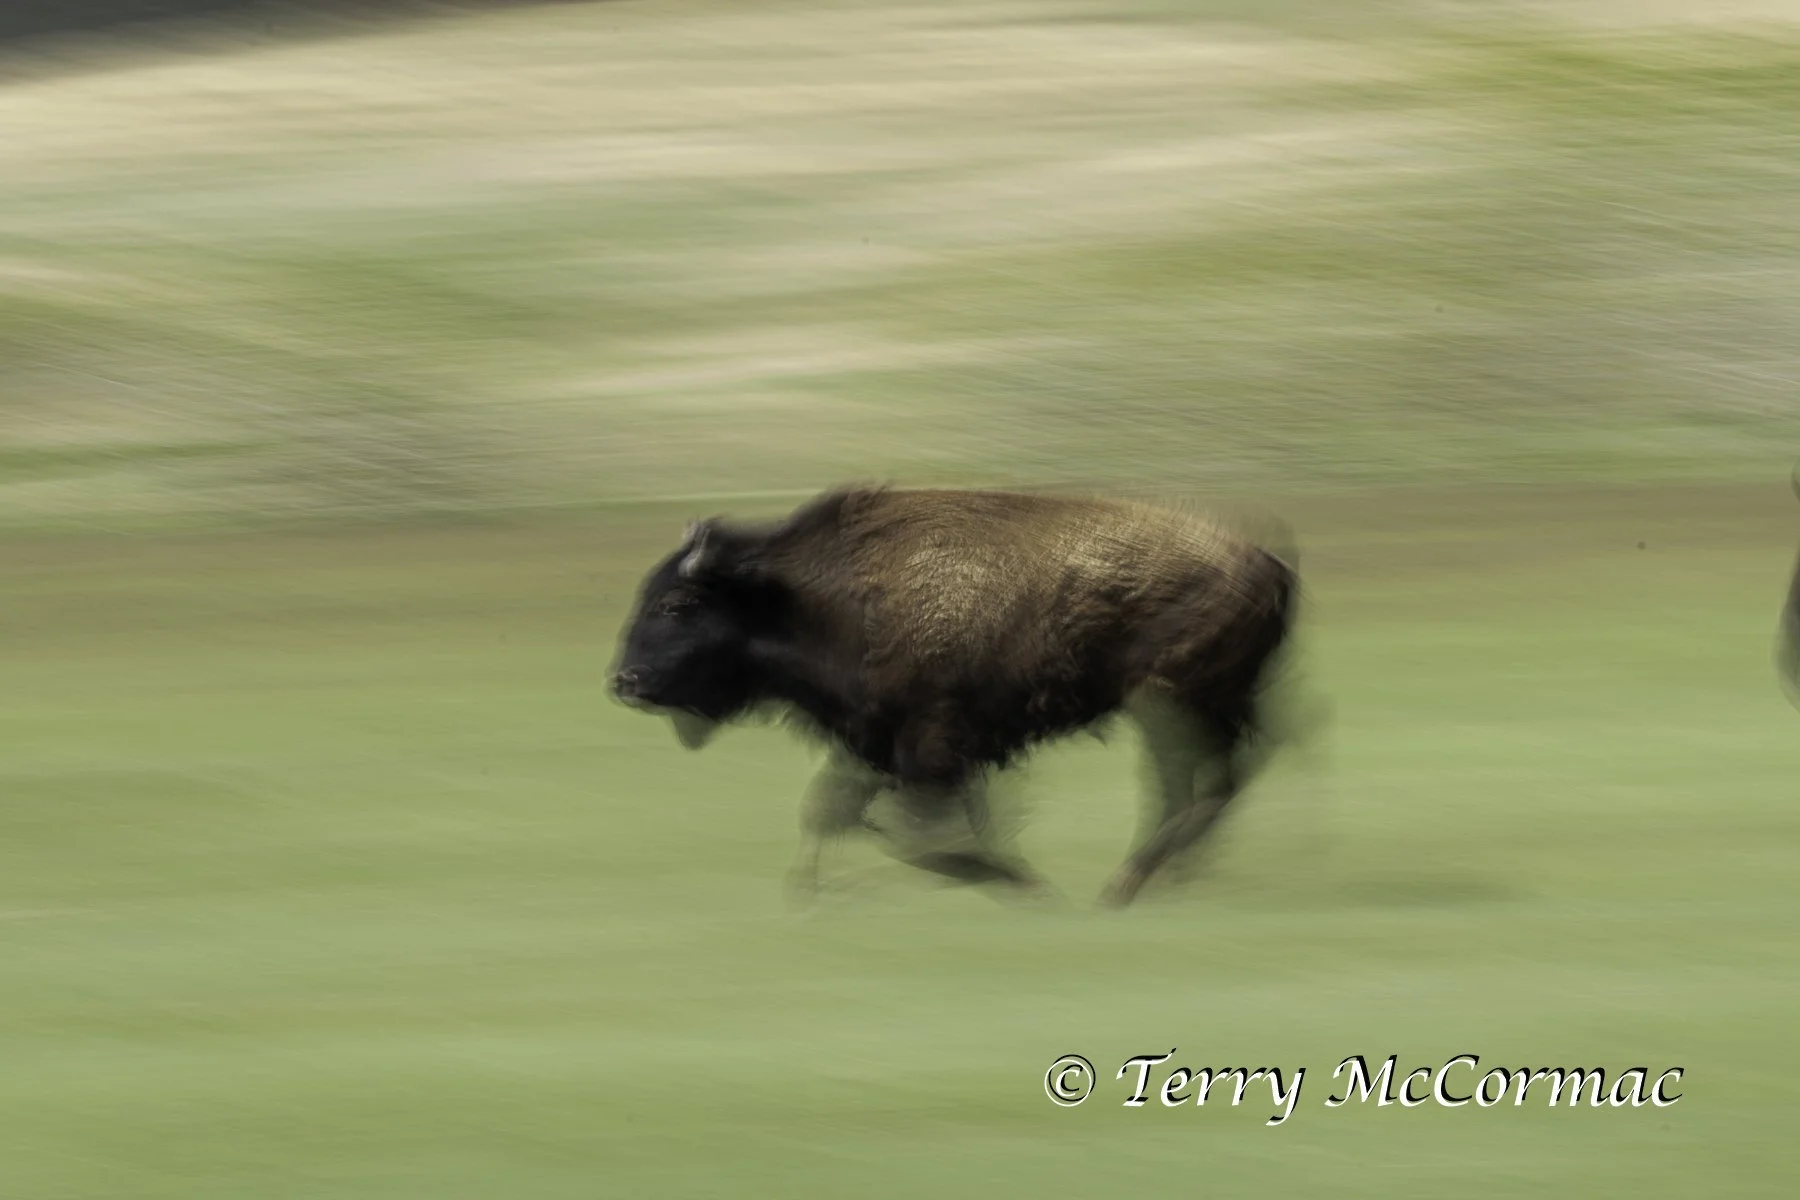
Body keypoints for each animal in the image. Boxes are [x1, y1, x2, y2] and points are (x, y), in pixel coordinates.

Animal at [608, 485, 1303, 907]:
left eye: (677, 604)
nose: (623, 682)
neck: (801, 599)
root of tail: (1266, 565)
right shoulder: (873, 740)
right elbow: (829, 811)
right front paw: (804, 898)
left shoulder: (929, 745)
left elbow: (920, 836)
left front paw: (1026, 887)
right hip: (1191, 707)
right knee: (1204, 786)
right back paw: (1160, 884)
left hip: (1166, 703)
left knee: (1195, 787)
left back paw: (1123, 888)